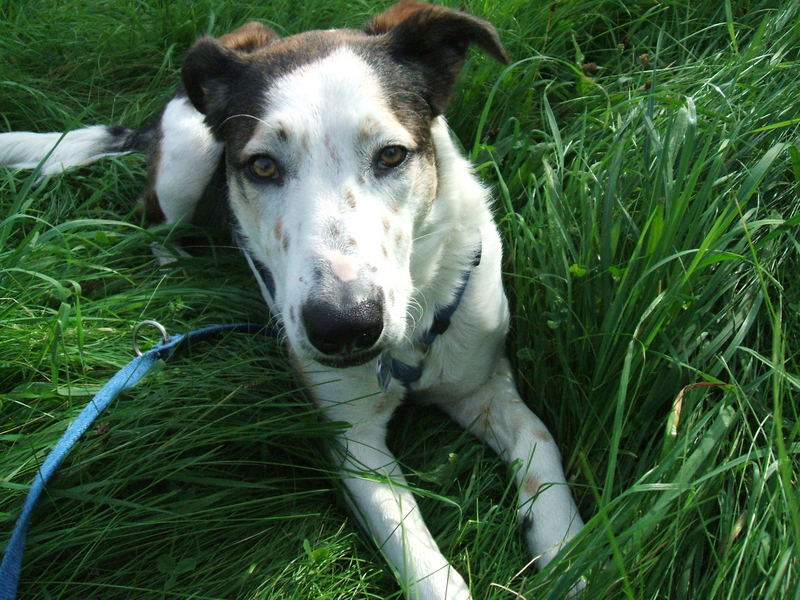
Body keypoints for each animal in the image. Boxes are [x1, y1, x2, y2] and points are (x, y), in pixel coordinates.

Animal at [1, 2, 588, 596]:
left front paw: (570, 557)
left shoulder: (484, 385)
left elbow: (542, 446)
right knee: (151, 222)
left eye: (392, 155)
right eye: (262, 166)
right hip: (187, 163)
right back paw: (177, 271)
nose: (345, 327)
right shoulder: (352, 443)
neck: (405, 345)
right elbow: (425, 569)